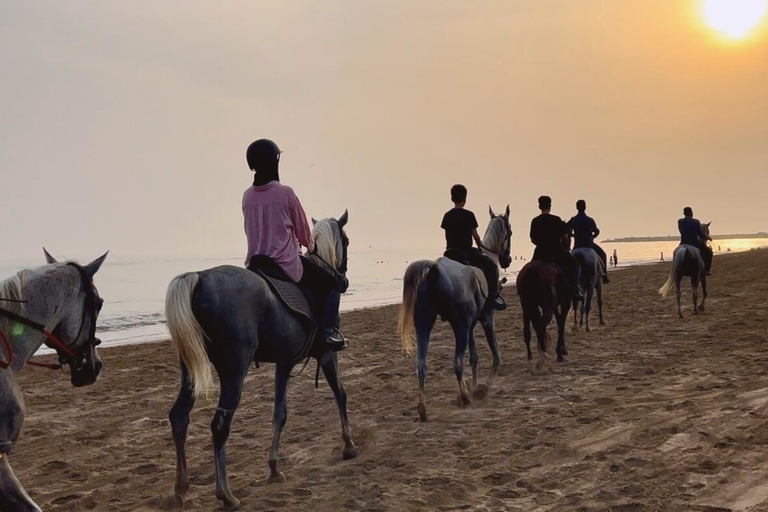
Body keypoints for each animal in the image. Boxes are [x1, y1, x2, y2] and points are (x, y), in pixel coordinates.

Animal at [166, 210, 356, 510]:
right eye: (346, 241)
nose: (344, 280)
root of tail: (200, 278)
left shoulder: (284, 363)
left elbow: (280, 413)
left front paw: (274, 468)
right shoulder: (328, 355)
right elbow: (340, 394)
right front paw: (348, 444)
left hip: (190, 371)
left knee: (179, 417)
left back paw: (180, 488)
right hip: (234, 372)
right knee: (219, 426)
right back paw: (226, 494)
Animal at [400, 206, 512, 422]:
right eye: (509, 232)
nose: (507, 259)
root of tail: (434, 270)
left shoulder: (471, 325)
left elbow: (474, 357)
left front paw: (475, 386)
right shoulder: (486, 320)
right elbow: (496, 355)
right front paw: (482, 389)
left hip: (424, 324)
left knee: (421, 364)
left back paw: (423, 408)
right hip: (459, 327)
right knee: (457, 363)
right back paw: (465, 397)